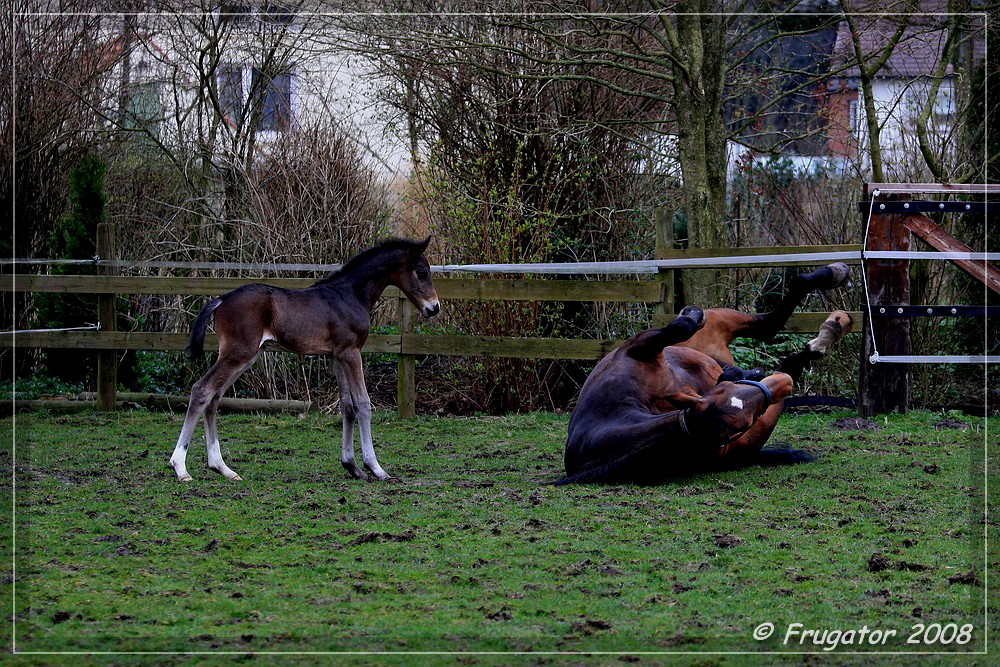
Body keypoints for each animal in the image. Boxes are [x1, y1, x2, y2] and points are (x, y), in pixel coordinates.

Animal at [170, 237, 440, 482]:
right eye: (422, 272)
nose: (434, 308)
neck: (349, 295)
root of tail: (221, 299)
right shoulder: (351, 352)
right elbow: (363, 404)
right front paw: (376, 468)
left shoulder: (337, 355)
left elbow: (347, 406)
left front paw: (352, 466)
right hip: (238, 353)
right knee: (202, 390)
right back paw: (180, 467)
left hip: (244, 357)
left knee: (214, 398)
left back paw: (222, 468)